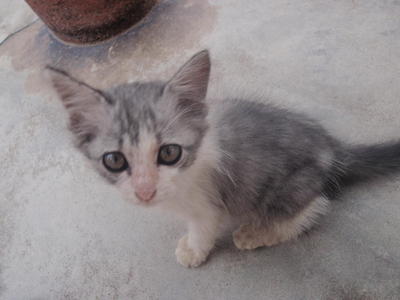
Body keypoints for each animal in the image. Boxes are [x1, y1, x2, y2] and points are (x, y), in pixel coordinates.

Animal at [49, 49, 400, 268]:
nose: (145, 191)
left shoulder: (208, 201)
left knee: (311, 209)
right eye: (114, 160)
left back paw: (256, 232)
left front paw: (193, 250)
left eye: (169, 153)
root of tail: (331, 149)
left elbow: (203, 228)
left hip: (286, 188)